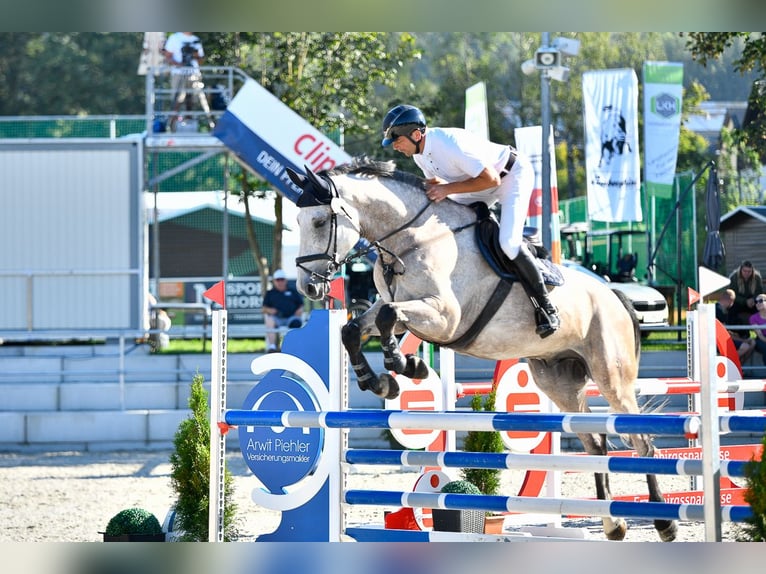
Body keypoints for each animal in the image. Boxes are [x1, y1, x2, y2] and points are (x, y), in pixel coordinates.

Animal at [286, 159, 680, 544]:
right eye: (297, 223)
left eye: (319, 221)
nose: (308, 288)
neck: (411, 239)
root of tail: (613, 295)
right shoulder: (403, 308)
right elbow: (355, 328)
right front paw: (381, 381)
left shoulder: (444, 317)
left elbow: (387, 316)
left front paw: (405, 365)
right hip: (558, 380)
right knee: (596, 444)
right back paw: (614, 525)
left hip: (611, 374)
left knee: (641, 442)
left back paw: (664, 523)